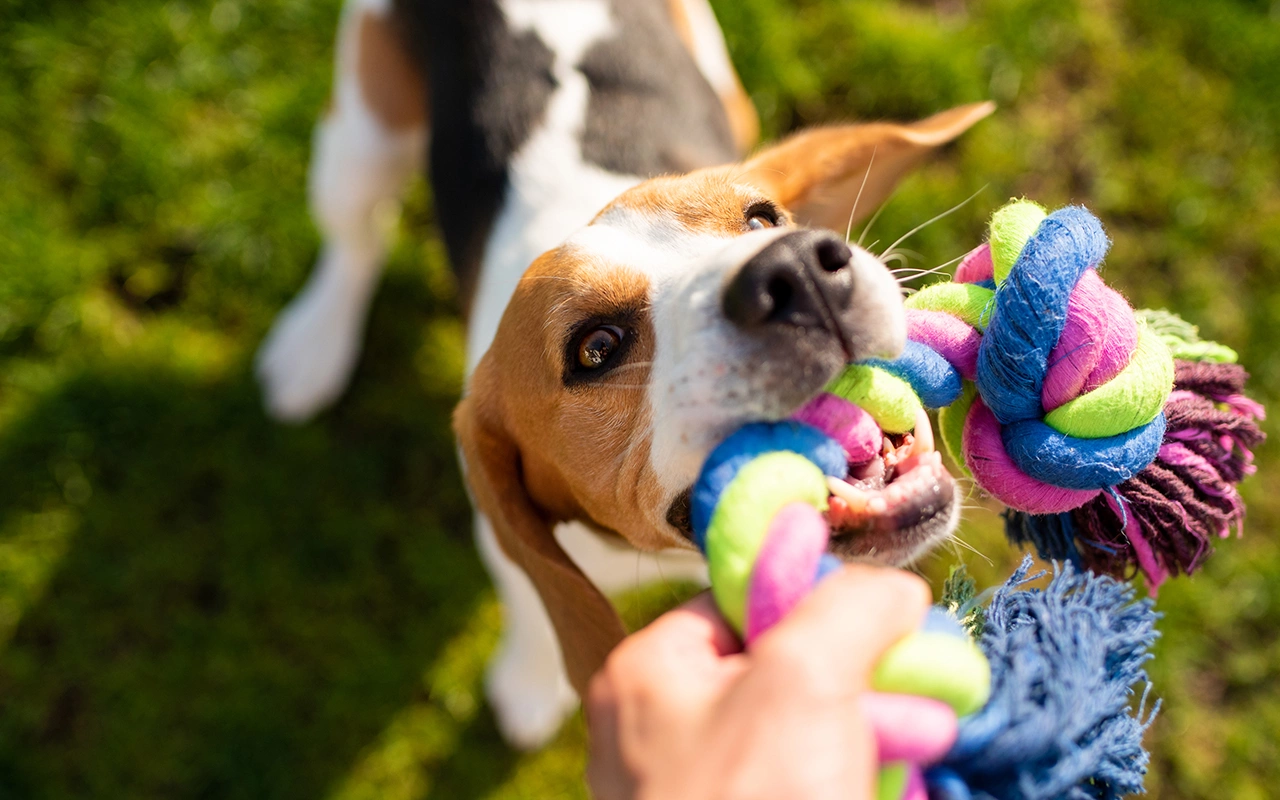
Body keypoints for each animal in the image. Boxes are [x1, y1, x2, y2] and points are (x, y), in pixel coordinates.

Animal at [254, 0, 993, 747]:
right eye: (596, 347)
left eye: (762, 219)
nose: (798, 270)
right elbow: (531, 601)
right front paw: (530, 681)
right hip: (362, 137)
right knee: (355, 237)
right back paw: (314, 344)